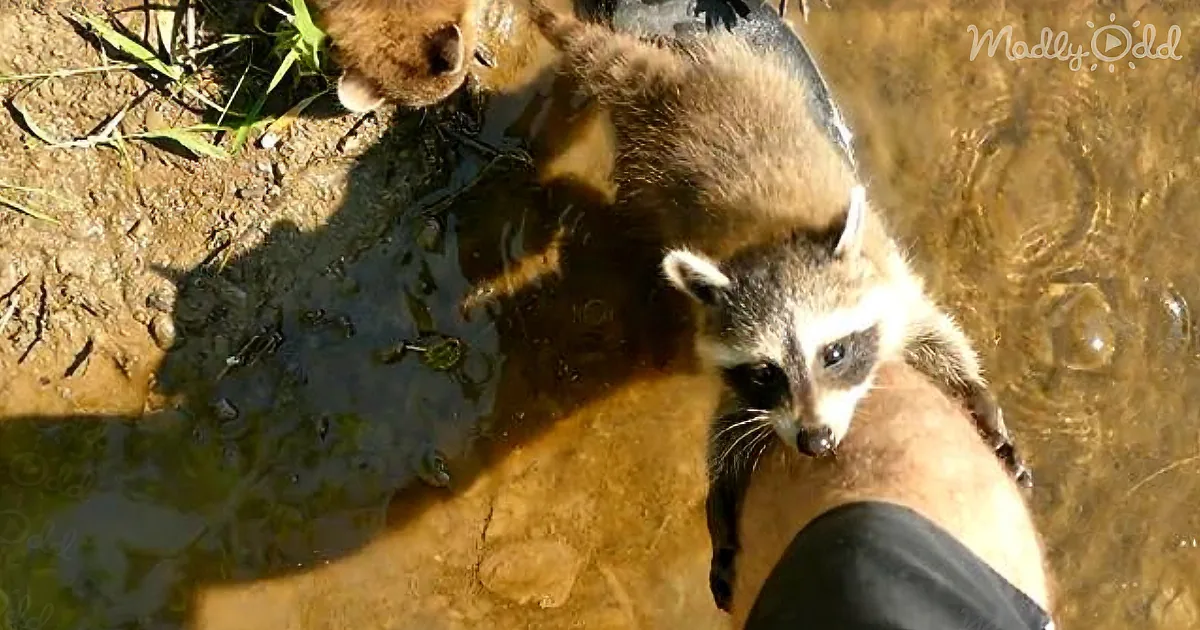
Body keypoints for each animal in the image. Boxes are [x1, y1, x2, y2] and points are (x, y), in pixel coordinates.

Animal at [525, 2, 1031, 612]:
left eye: (834, 353)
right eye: (765, 371)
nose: (815, 441)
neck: (771, 241)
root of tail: (679, 80)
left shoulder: (889, 283)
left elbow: (938, 336)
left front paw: (976, 395)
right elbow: (728, 430)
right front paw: (721, 503)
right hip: (648, 171)